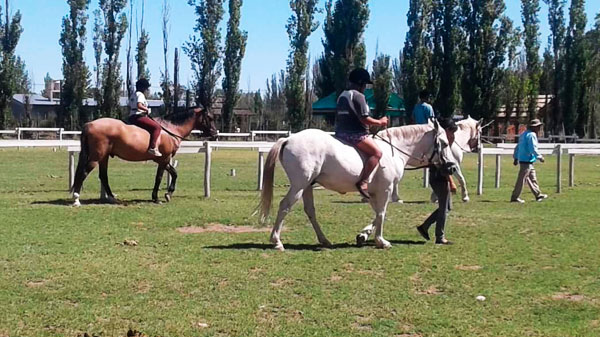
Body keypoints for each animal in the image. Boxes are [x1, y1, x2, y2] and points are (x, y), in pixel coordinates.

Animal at [71, 109, 218, 206]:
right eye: (210, 118)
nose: (215, 134)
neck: (170, 130)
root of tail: (89, 124)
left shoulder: (163, 159)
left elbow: (174, 173)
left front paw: (168, 194)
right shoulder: (164, 159)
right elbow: (159, 177)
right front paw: (156, 198)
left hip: (104, 157)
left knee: (103, 176)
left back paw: (112, 198)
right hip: (96, 158)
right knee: (84, 173)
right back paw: (76, 199)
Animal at [258, 121, 460, 249]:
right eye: (443, 143)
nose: (451, 167)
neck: (393, 151)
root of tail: (288, 139)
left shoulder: (372, 193)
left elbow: (378, 215)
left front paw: (363, 235)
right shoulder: (385, 190)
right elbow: (382, 214)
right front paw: (381, 241)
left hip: (307, 186)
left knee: (310, 211)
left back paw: (324, 240)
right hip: (299, 186)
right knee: (285, 206)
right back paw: (276, 241)